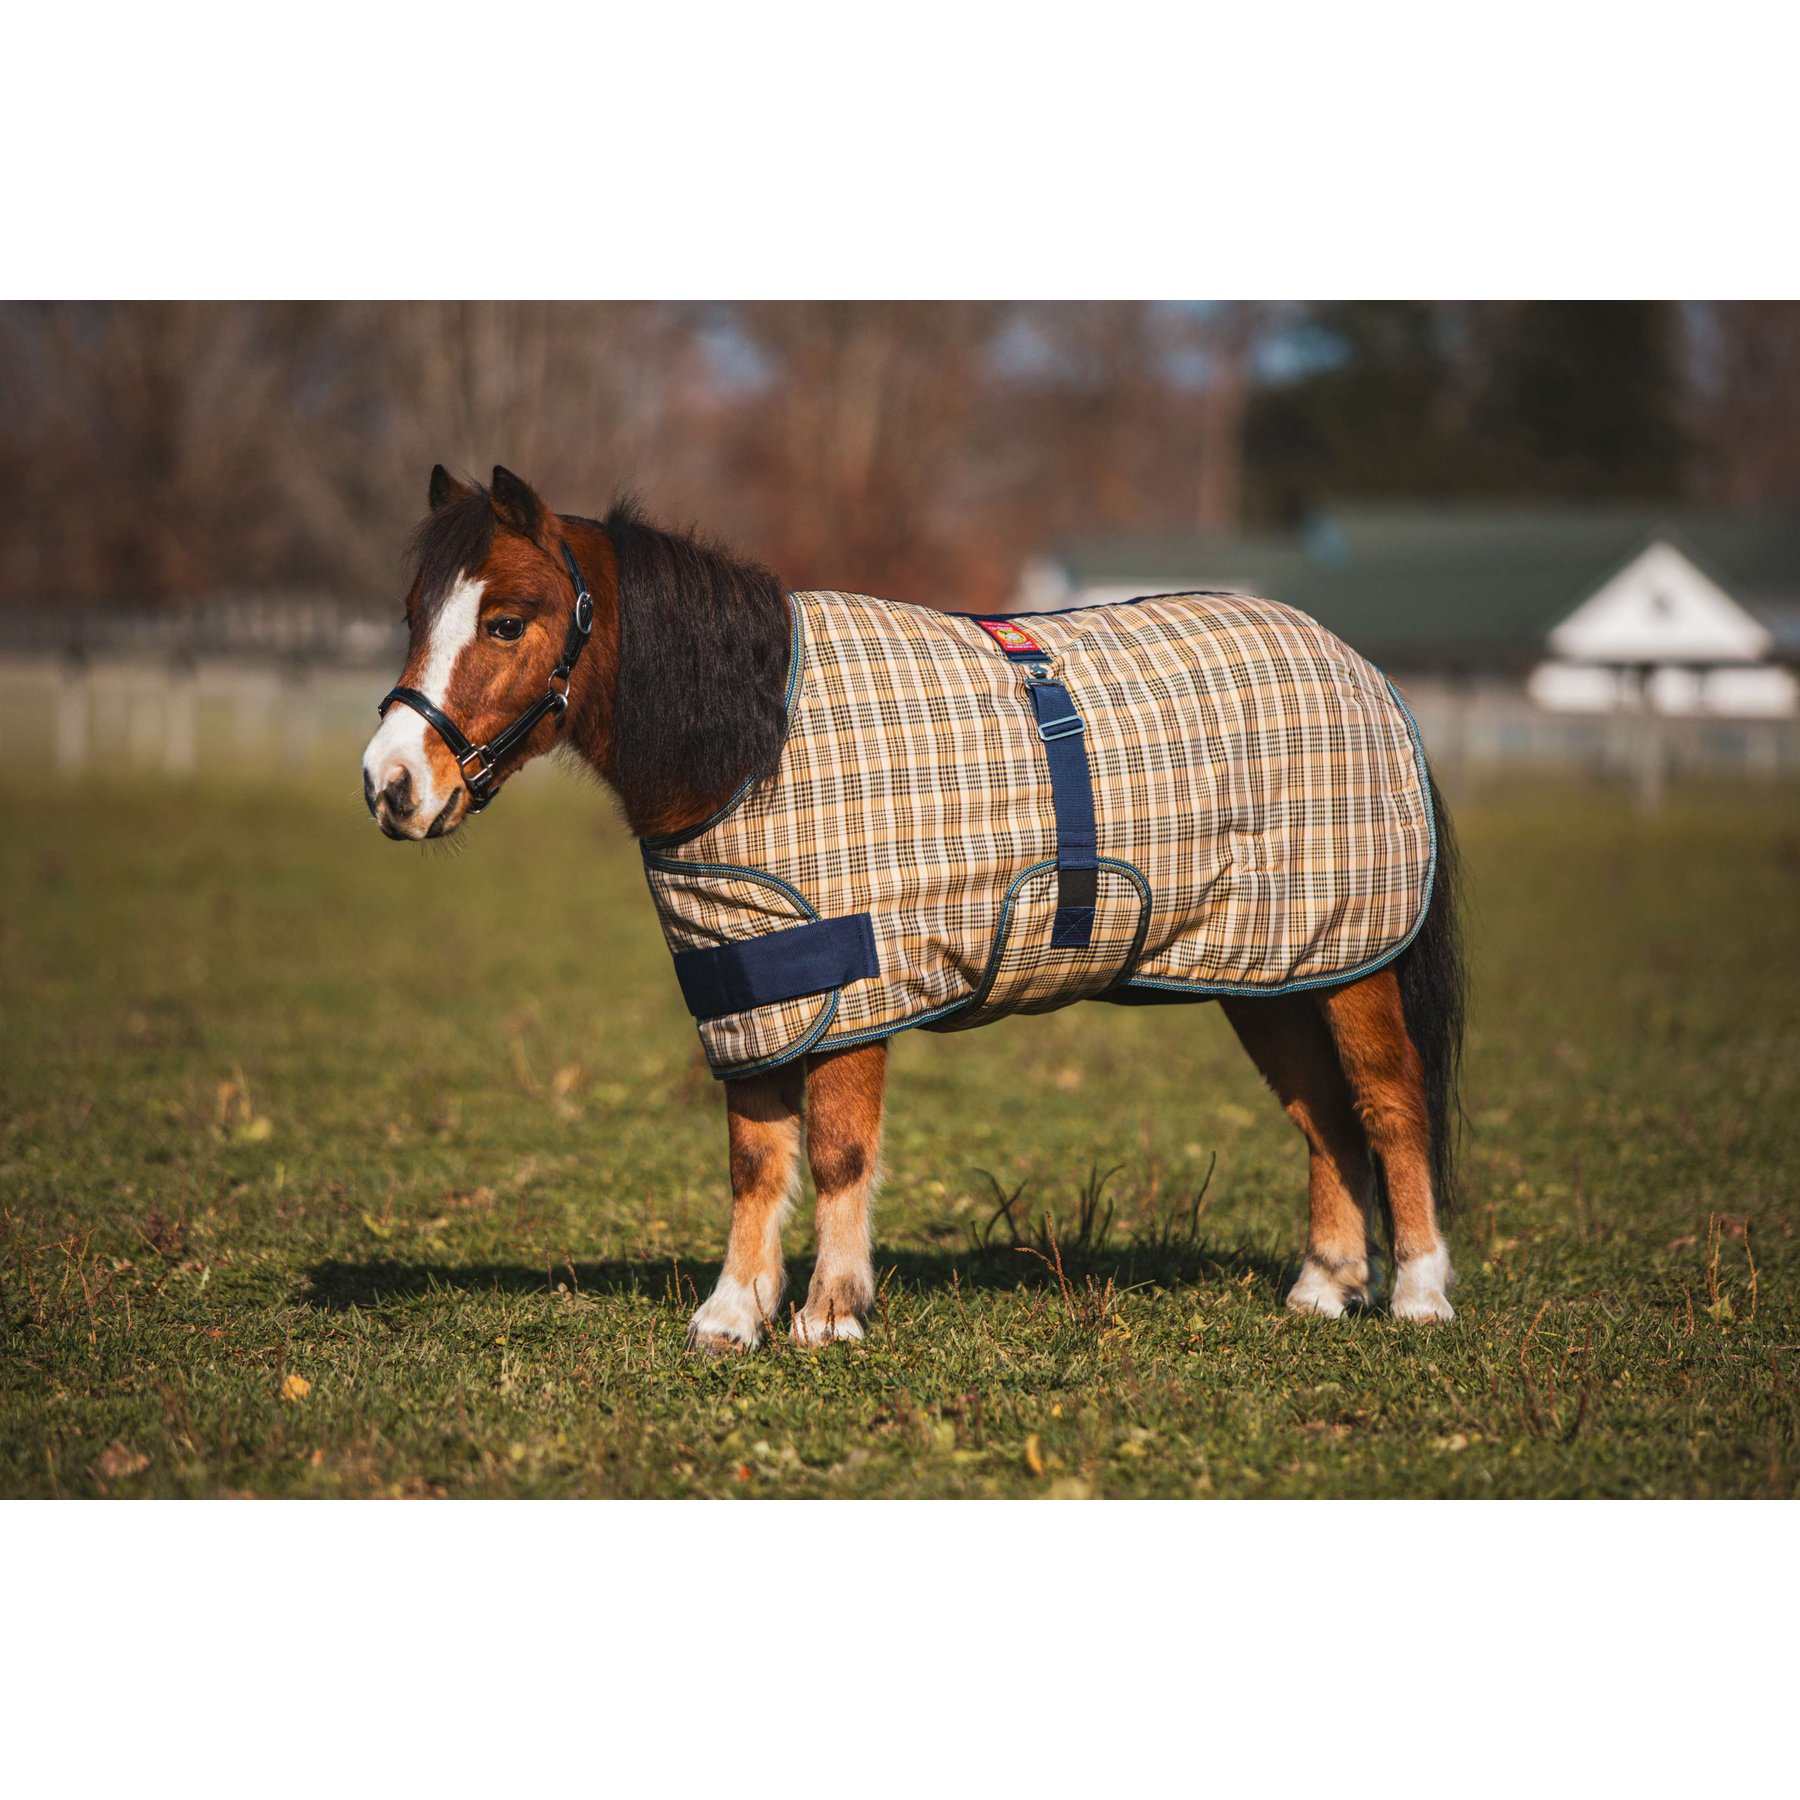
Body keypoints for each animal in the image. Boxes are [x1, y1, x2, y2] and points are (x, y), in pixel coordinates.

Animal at [363, 465, 1466, 1348]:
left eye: (506, 620)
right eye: (414, 614)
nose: (389, 786)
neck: (755, 743)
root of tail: (1365, 672)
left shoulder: (852, 986)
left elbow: (838, 1152)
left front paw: (830, 1312)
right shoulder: (755, 989)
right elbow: (756, 1161)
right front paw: (733, 1314)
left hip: (1354, 962)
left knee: (1389, 1105)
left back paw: (1419, 1295)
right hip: (1269, 972)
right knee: (1324, 1117)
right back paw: (1324, 1287)